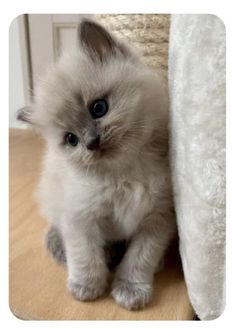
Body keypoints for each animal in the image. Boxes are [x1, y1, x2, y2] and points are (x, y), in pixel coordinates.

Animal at [18, 18, 175, 310]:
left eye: (98, 108)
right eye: (71, 139)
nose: (91, 143)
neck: (125, 175)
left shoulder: (157, 218)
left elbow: (140, 258)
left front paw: (130, 290)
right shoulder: (80, 216)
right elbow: (85, 257)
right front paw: (86, 287)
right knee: (59, 231)